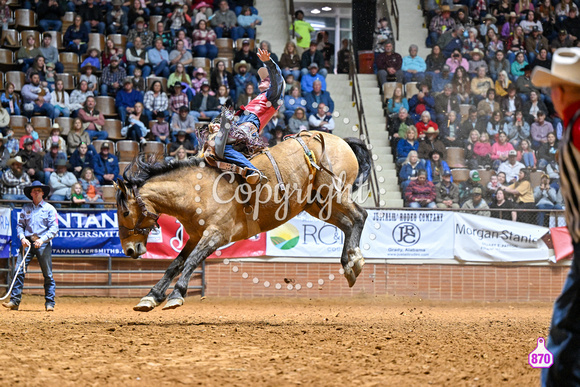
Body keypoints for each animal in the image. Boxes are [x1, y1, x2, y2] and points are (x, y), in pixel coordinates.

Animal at [116, 133, 372, 312]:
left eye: (125, 212)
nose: (129, 250)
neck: (195, 191)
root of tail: (340, 141)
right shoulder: (196, 236)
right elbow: (175, 264)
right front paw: (151, 296)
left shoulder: (216, 235)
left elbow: (190, 262)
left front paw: (176, 296)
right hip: (319, 204)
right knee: (348, 224)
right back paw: (349, 264)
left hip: (335, 192)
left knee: (360, 215)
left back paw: (355, 261)